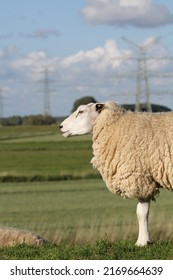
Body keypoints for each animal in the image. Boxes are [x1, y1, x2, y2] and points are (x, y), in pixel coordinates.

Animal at [59, 101, 173, 246]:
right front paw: (144, 240)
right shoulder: (143, 179)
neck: (117, 125)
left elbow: (141, 213)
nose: (60, 126)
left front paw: (142, 242)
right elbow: (142, 212)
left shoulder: (139, 178)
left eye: (81, 111)